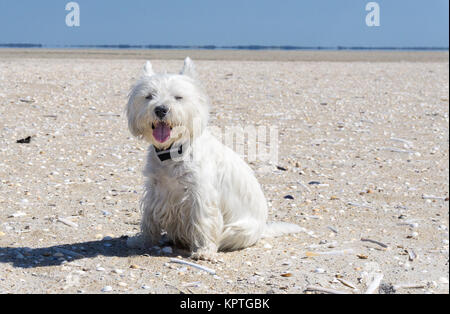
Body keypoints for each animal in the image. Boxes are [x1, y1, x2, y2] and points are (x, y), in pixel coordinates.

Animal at [125, 58, 302, 260]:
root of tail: (263, 229)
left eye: (178, 97)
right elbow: (149, 217)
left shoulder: (200, 194)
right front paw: (142, 240)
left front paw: (204, 250)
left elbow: (203, 221)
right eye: (149, 96)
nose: (161, 109)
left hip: (239, 229)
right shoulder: (155, 189)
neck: (172, 152)